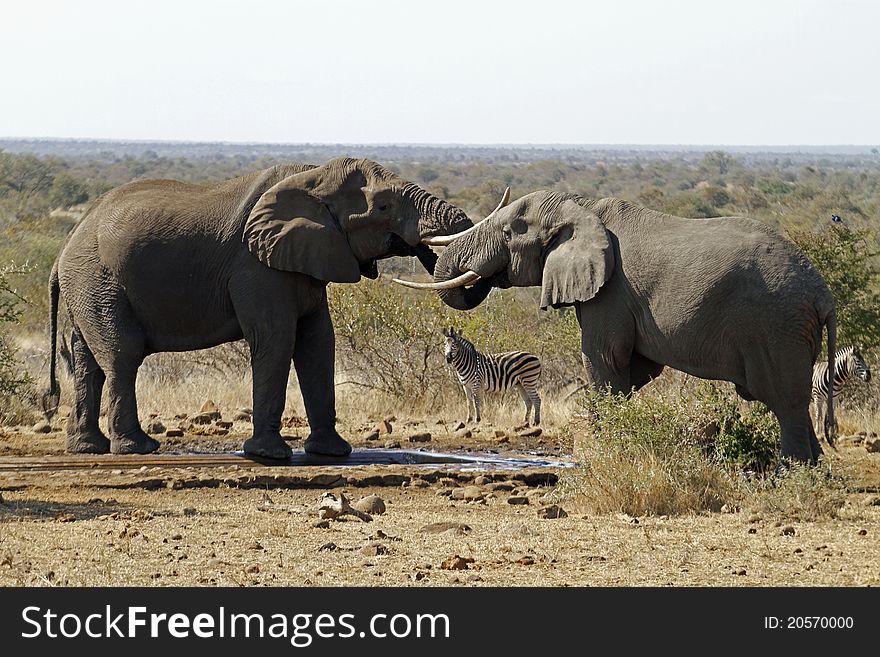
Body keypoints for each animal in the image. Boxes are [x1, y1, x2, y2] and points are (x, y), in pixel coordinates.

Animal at [46, 158, 474, 456]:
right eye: (383, 207)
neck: (313, 176)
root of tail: (66, 244)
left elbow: (318, 343)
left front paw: (331, 453)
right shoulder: (256, 266)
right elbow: (277, 338)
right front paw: (269, 455)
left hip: (88, 287)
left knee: (88, 361)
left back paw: (87, 448)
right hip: (99, 281)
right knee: (123, 355)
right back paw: (138, 448)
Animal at [398, 190, 840, 464]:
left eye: (507, 233)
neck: (580, 205)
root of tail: (823, 294)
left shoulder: (611, 292)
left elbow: (604, 360)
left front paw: (602, 452)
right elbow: (634, 369)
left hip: (777, 327)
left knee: (785, 402)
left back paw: (791, 477)